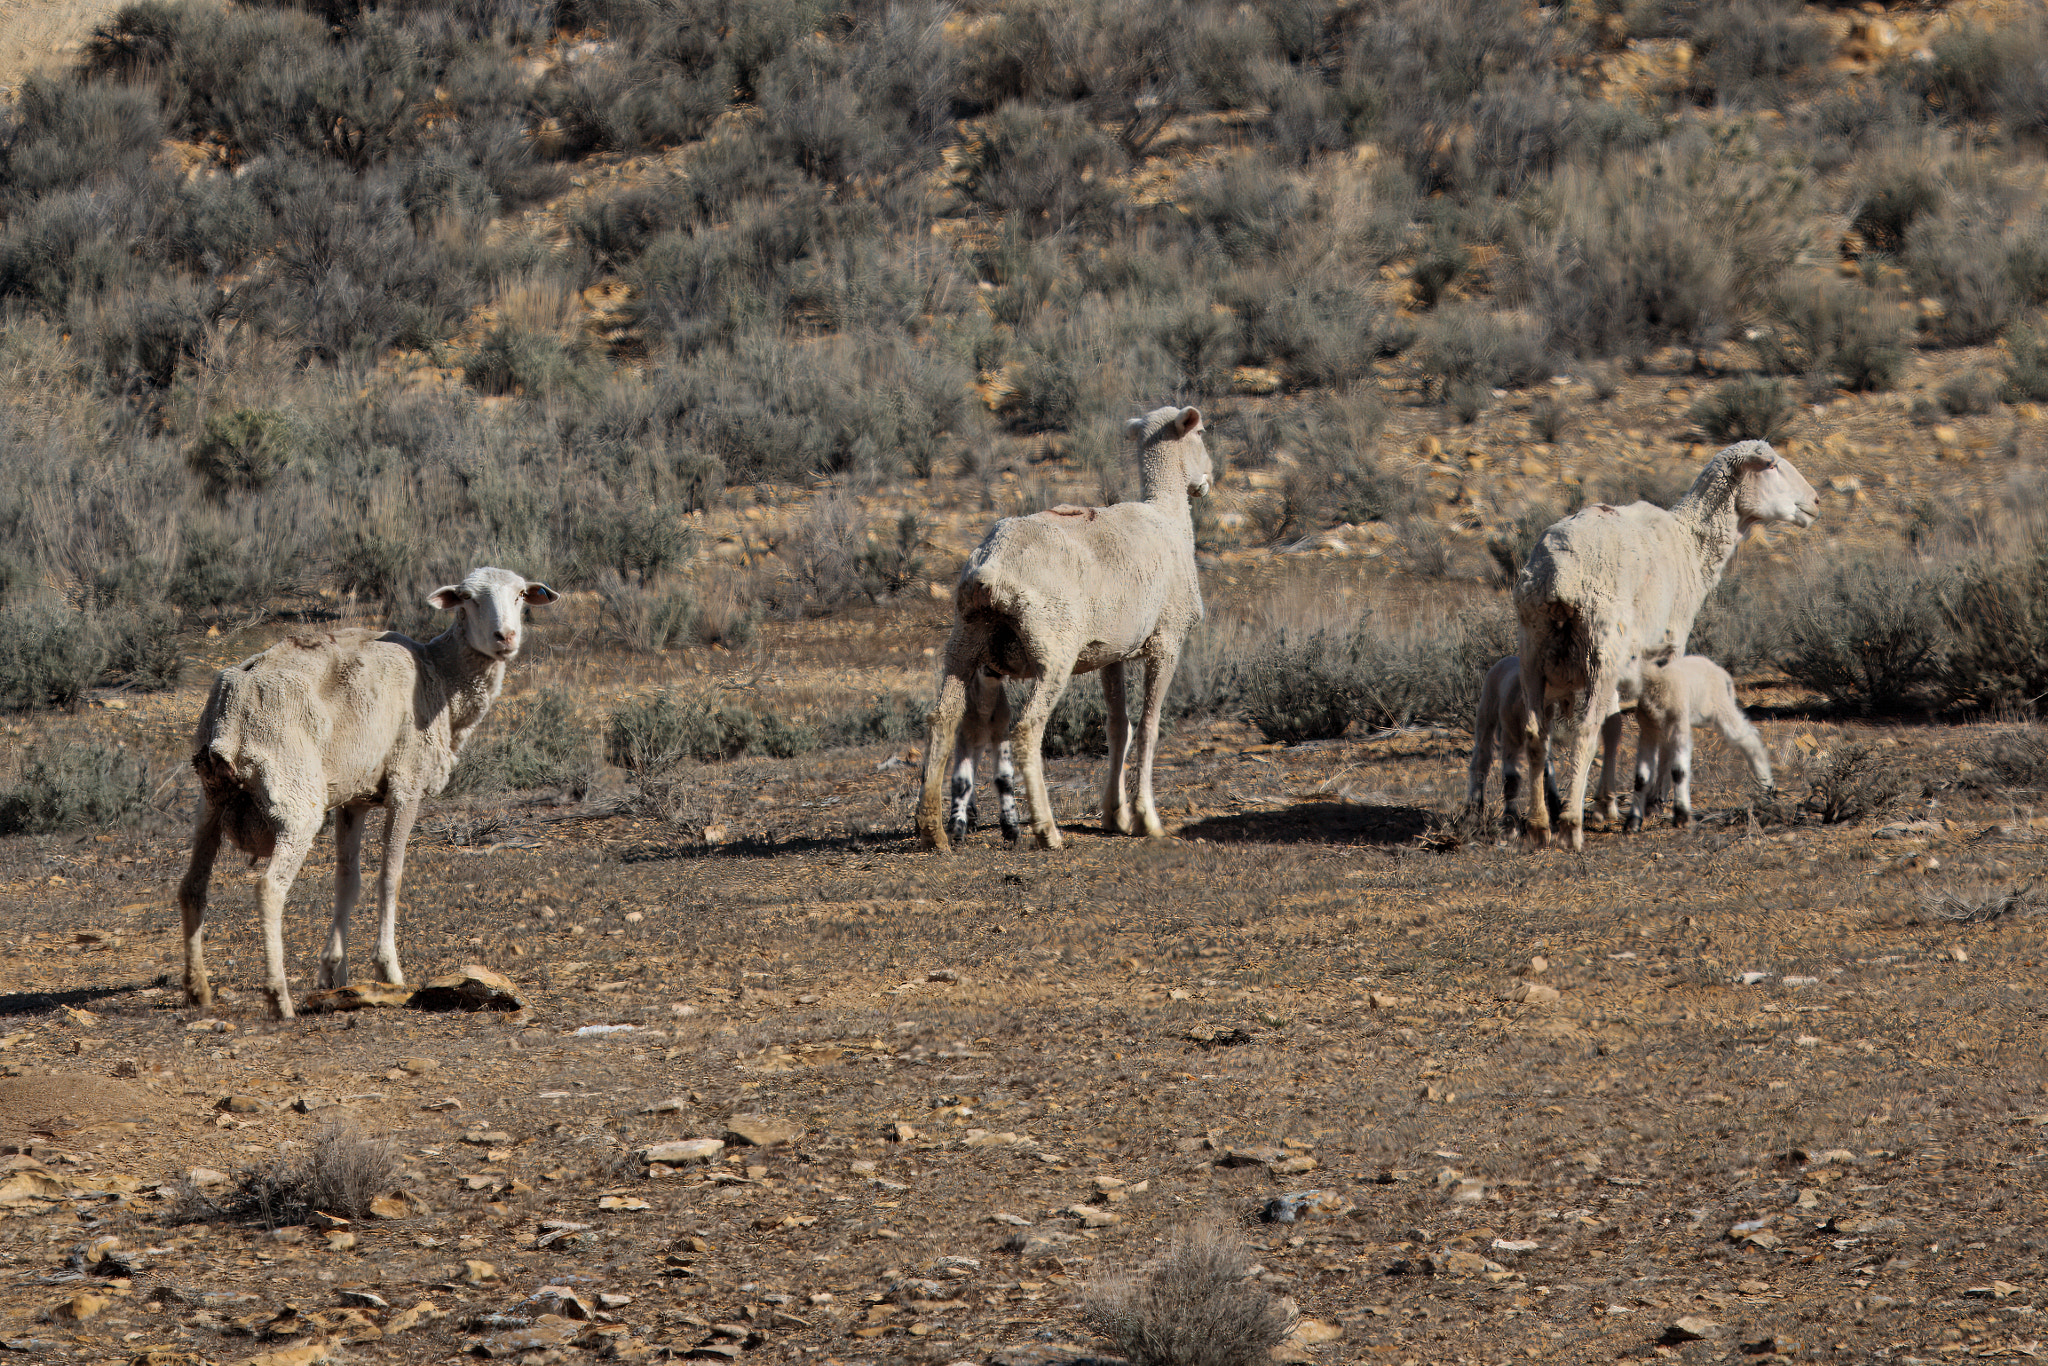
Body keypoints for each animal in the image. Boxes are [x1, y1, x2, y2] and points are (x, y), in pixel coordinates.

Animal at [177, 567, 558, 1018]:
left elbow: (348, 880)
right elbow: (390, 876)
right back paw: (278, 996)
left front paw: (333, 971)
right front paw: (387, 967)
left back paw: (198, 989)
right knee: (269, 889)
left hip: (210, 801)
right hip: (296, 799)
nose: (506, 637)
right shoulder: (406, 783)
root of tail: (232, 705)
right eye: (467, 598)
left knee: (192, 887)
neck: (440, 677)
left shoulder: (353, 797)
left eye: (520, 596)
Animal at [945, 666, 1021, 844]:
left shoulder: (1001, 731)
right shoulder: (964, 735)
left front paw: (1011, 829)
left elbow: (1004, 778)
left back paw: (972, 816)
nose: (992, 669)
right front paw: (956, 829)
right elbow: (961, 780)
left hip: (979, 743)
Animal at [1465, 653, 1772, 829]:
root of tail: (1723, 673)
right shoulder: (1650, 729)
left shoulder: (1678, 725)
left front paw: (1682, 816)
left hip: (1716, 709)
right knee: (1483, 758)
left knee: (1747, 737)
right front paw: (1634, 821)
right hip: (1490, 713)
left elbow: (1679, 770)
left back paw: (1767, 785)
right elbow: (1641, 775)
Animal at [1514, 440, 1817, 850]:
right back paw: (1571, 826)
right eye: (1771, 466)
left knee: (1535, 734)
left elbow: (1616, 725)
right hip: (1600, 643)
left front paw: (1607, 804)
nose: (1815, 501)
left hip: (1533, 647)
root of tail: (1555, 576)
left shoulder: (1629, 658)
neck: (1689, 543)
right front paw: (1655, 797)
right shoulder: (1670, 646)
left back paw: (1539, 825)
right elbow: (1658, 721)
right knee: (1584, 730)